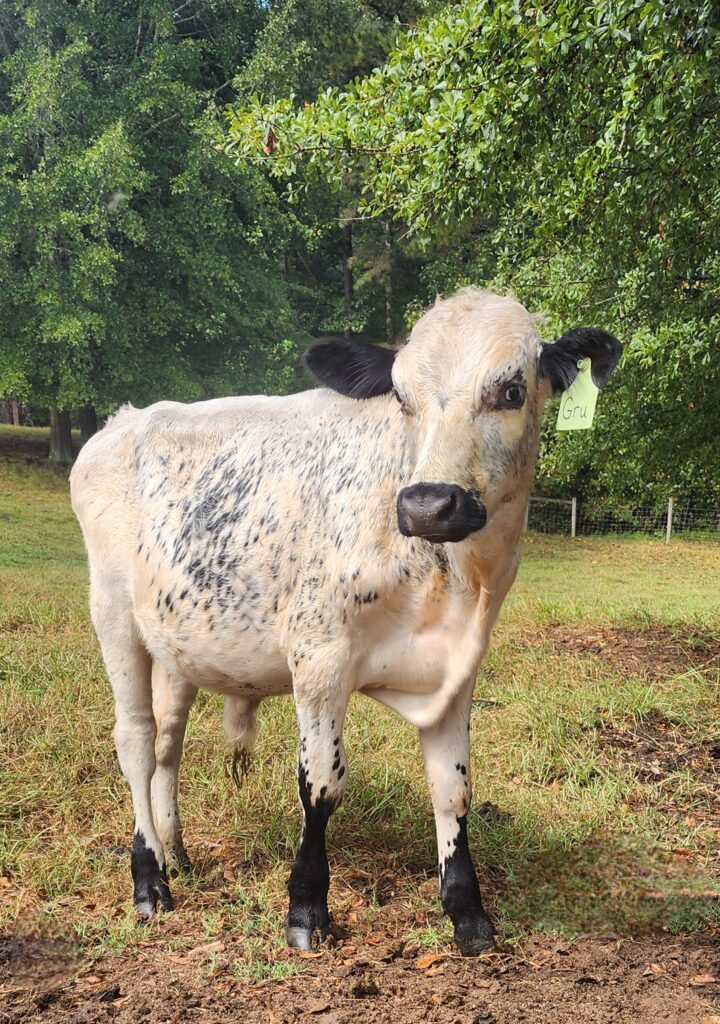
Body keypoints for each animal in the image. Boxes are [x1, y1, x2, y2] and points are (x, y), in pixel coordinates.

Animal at [70, 288, 621, 955]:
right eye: (402, 397)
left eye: (512, 390)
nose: (427, 504)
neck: (455, 582)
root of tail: (121, 420)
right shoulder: (319, 657)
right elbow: (321, 785)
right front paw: (306, 908)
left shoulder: (459, 670)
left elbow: (453, 788)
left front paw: (468, 913)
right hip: (112, 613)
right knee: (136, 740)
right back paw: (149, 881)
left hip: (177, 642)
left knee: (168, 741)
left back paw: (175, 854)